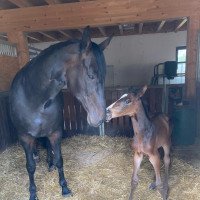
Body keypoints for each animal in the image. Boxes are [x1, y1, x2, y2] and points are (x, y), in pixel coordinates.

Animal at [9, 27, 111, 200]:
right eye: (91, 75)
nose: (101, 118)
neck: (34, 97)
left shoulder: (55, 132)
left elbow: (59, 160)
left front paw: (64, 187)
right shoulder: (25, 137)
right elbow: (30, 166)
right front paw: (32, 192)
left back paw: (49, 164)